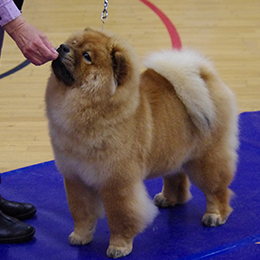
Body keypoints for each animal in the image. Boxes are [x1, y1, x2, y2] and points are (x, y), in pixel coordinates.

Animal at [45, 27, 238, 258]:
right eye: (73, 43)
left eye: (87, 56)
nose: (62, 47)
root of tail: (206, 76)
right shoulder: (76, 178)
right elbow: (81, 212)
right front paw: (80, 236)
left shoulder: (117, 182)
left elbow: (120, 216)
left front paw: (118, 246)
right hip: (173, 153)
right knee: (176, 177)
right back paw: (168, 199)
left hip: (205, 159)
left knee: (217, 188)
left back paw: (215, 215)